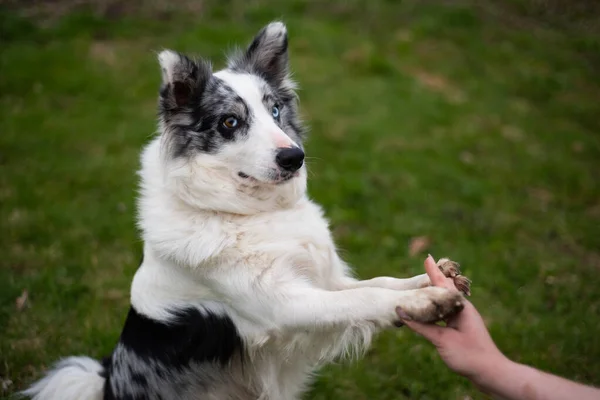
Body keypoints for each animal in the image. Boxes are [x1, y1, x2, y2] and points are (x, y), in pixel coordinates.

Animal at [22, 21, 468, 400]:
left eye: (275, 111)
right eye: (230, 122)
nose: (294, 157)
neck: (254, 215)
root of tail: (106, 383)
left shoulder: (320, 282)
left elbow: (380, 283)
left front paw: (430, 280)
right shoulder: (286, 306)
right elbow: (365, 298)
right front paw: (427, 301)